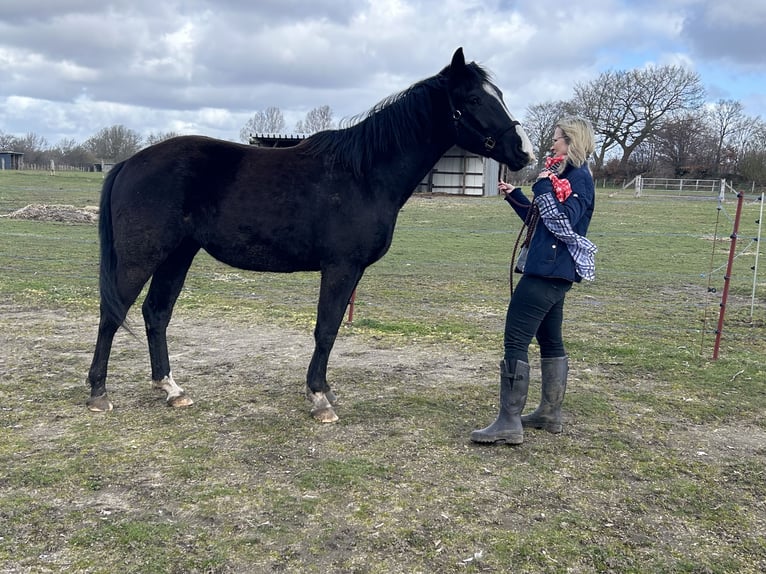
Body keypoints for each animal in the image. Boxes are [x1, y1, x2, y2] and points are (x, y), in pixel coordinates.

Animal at [85, 47, 534, 422]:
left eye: (497, 94)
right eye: (474, 99)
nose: (524, 151)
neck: (363, 174)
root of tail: (129, 163)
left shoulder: (349, 270)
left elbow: (329, 328)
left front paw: (324, 391)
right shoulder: (340, 267)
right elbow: (327, 328)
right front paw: (319, 399)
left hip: (178, 255)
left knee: (156, 314)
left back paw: (172, 389)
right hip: (142, 257)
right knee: (113, 313)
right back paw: (98, 393)